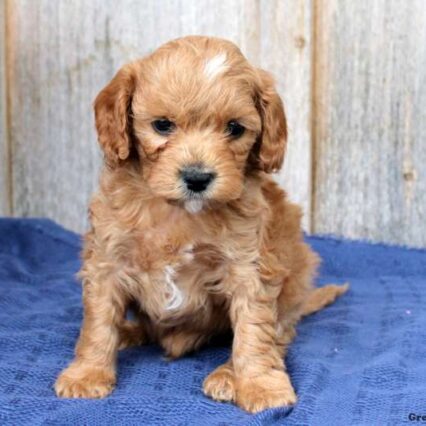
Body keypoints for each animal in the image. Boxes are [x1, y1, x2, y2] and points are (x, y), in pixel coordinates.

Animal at [55, 35, 348, 412]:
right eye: (162, 125)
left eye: (235, 128)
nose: (197, 177)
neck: (181, 211)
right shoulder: (106, 259)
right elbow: (99, 321)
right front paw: (87, 373)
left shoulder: (249, 265)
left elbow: (254, 331)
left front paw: (261, 386)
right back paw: (130, 333)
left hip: (293, 278)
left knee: (278, 334)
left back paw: (227, 374)